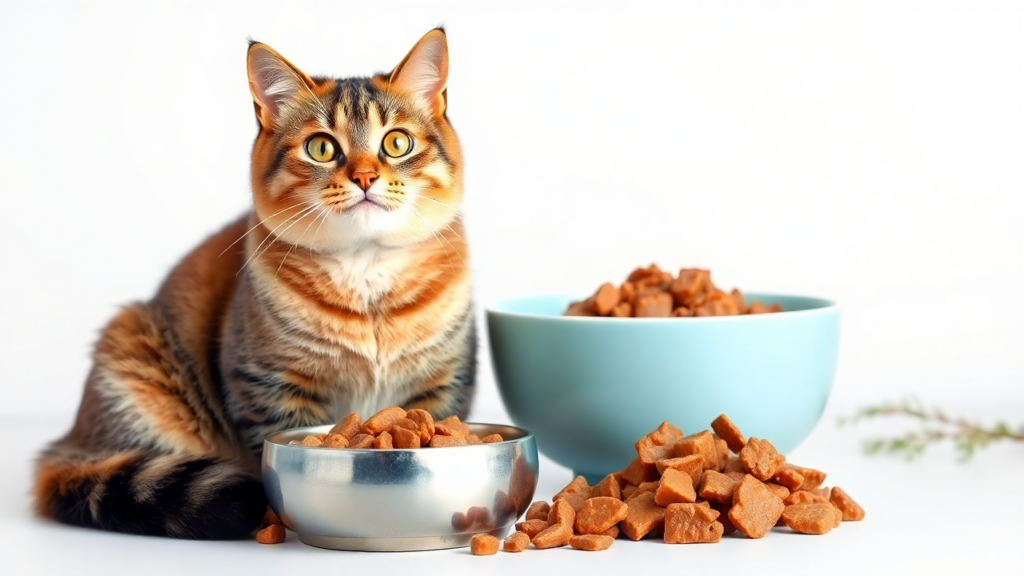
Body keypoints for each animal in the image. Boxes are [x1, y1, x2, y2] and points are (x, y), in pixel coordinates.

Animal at [33, 28, 475, 537]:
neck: (366, 271)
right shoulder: (269, 387)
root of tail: (71, 439)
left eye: (397, 143)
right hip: (132, 355)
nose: (365, 176)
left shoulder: (442, 385)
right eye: (322, 148)